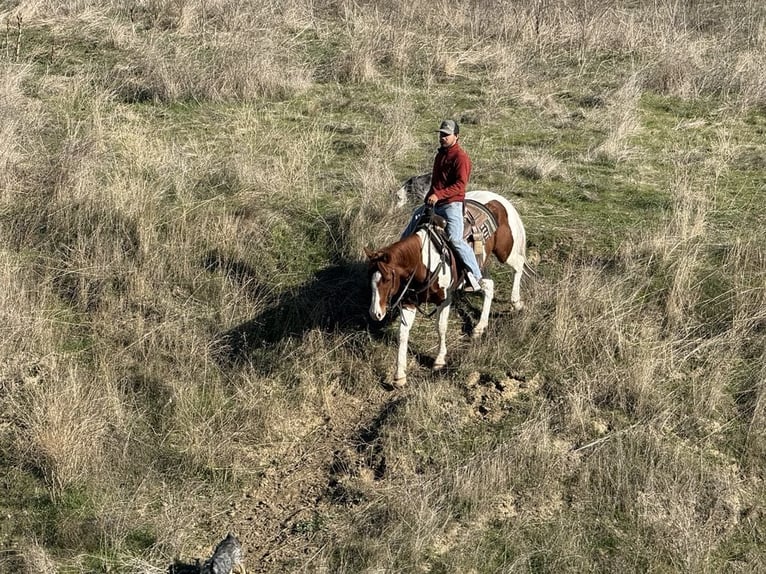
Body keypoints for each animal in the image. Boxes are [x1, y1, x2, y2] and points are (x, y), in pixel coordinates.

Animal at [366, 192, 528, 388]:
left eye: (388, 279)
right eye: (369, 278)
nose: (375, 314)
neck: (423, 261)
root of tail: (499, 200)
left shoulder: (444, 299)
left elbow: (441, 327)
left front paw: (439, 360)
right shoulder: (408, 302)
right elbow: (403, 334)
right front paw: (399, 376)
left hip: (505, 252)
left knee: (518, 265)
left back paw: (516, 303)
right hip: (479, 266)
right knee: (489, 286)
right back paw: (480, 327)